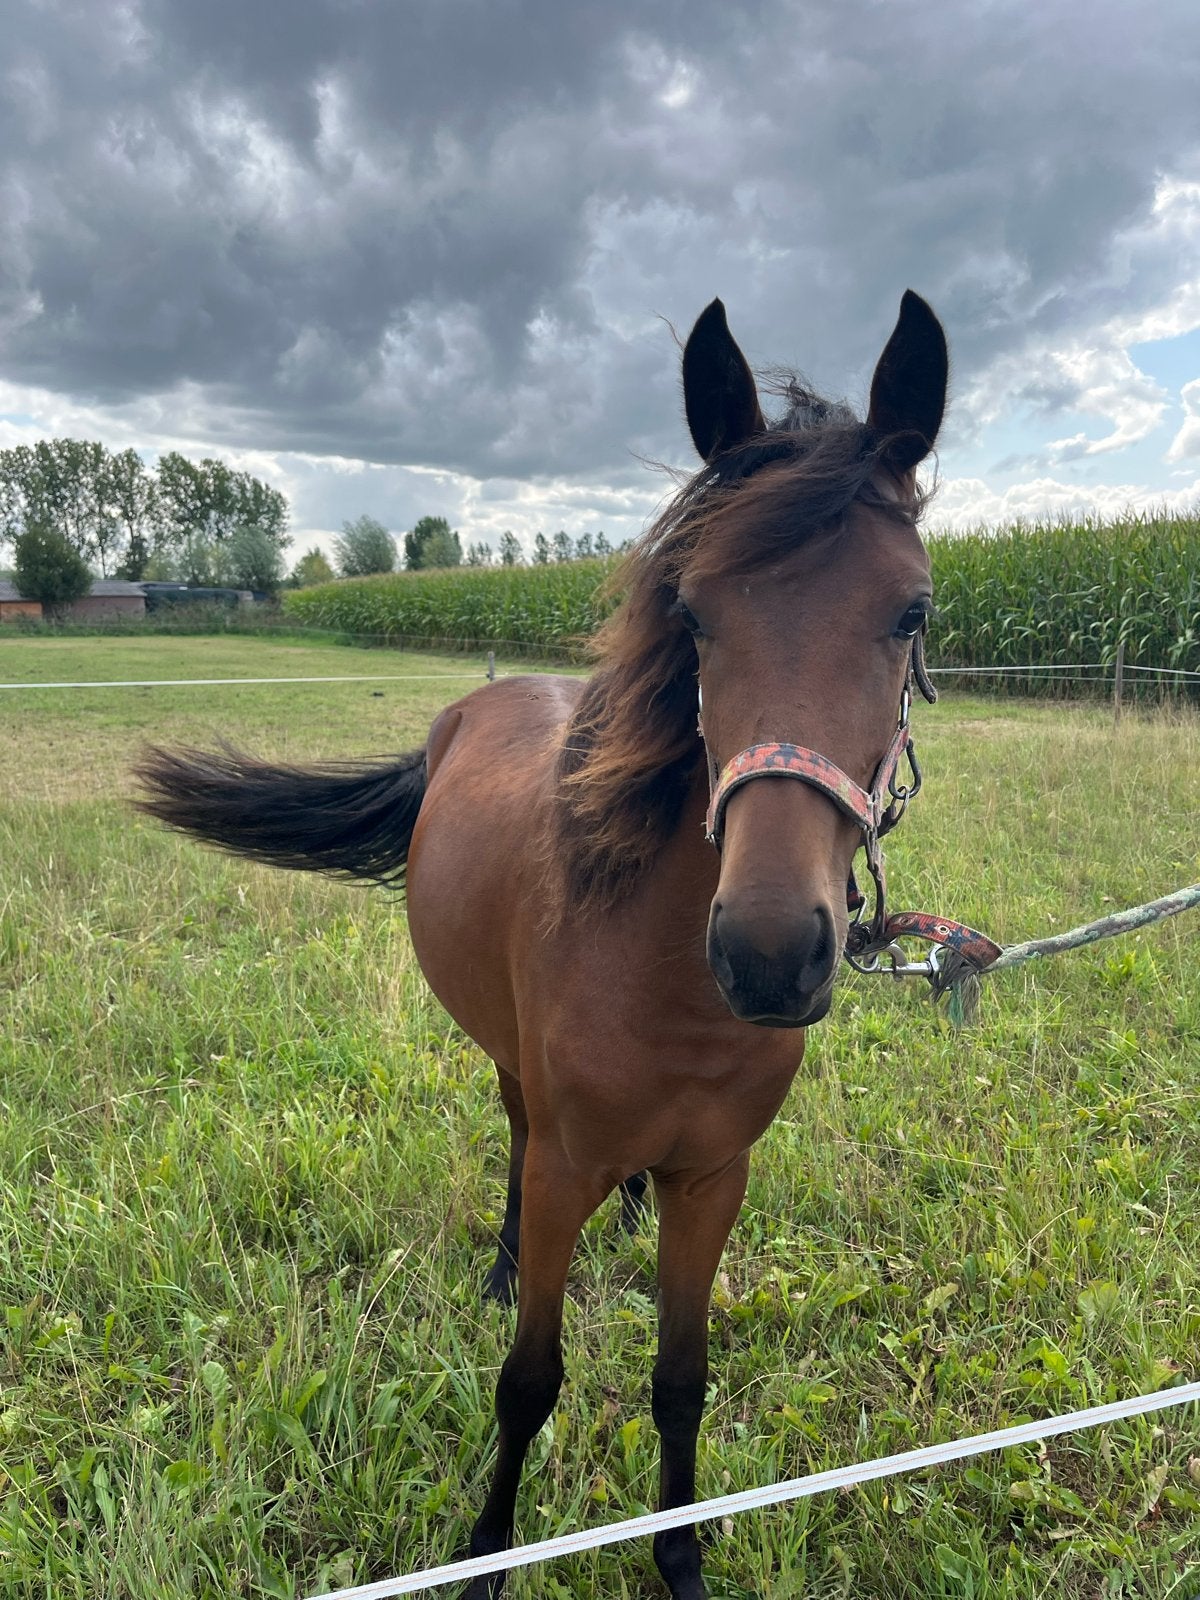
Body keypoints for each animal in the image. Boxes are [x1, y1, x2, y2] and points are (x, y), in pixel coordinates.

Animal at [134, 289, 947, 1599]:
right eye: (693, 612)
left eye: (911, 612)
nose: (772, 953)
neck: (664, 976)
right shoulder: (567, 1162)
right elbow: (529, 1380)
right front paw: (486, 1554)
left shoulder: (717, 1177)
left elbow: (681, 1381)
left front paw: (679, 1560)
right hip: (509, 1065)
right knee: (513, 1134)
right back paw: (511, 1257)